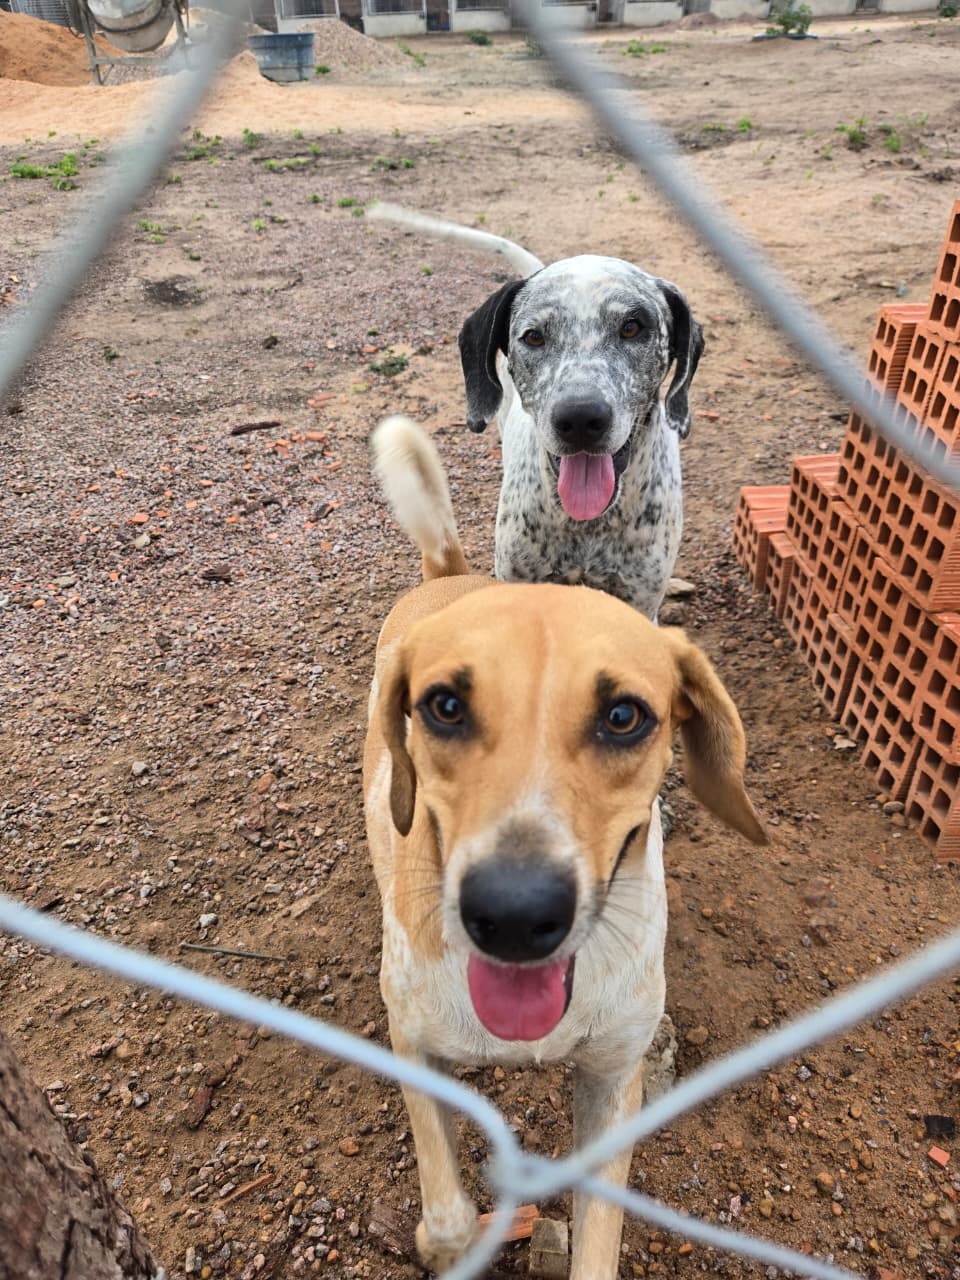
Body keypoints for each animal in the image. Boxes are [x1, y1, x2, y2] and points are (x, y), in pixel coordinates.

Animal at [364, 416, 765, 1277]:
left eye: (624, 717)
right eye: (444, 706)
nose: (514, 916)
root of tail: (451, 573)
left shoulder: (614, 1080)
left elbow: (599, 1237)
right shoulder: (411, 1042)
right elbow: (448, 1210)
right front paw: (447, 1240)